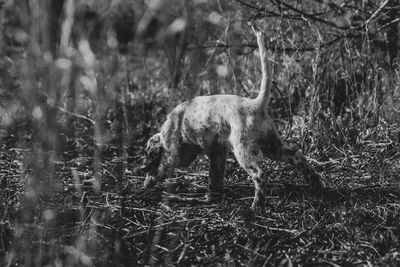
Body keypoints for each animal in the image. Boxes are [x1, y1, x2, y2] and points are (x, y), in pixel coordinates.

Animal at [142, 26, 324, 213]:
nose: (142, 171)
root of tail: (256, 105)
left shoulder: (174, 155)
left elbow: (161, 167)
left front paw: (149, 181)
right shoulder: (217, 153)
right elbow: (214, 179)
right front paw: (210, 198)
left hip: (242, 149)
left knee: (260, 175)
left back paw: (256, 206)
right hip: (272, 146)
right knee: (298, 155)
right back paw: (317, 185)